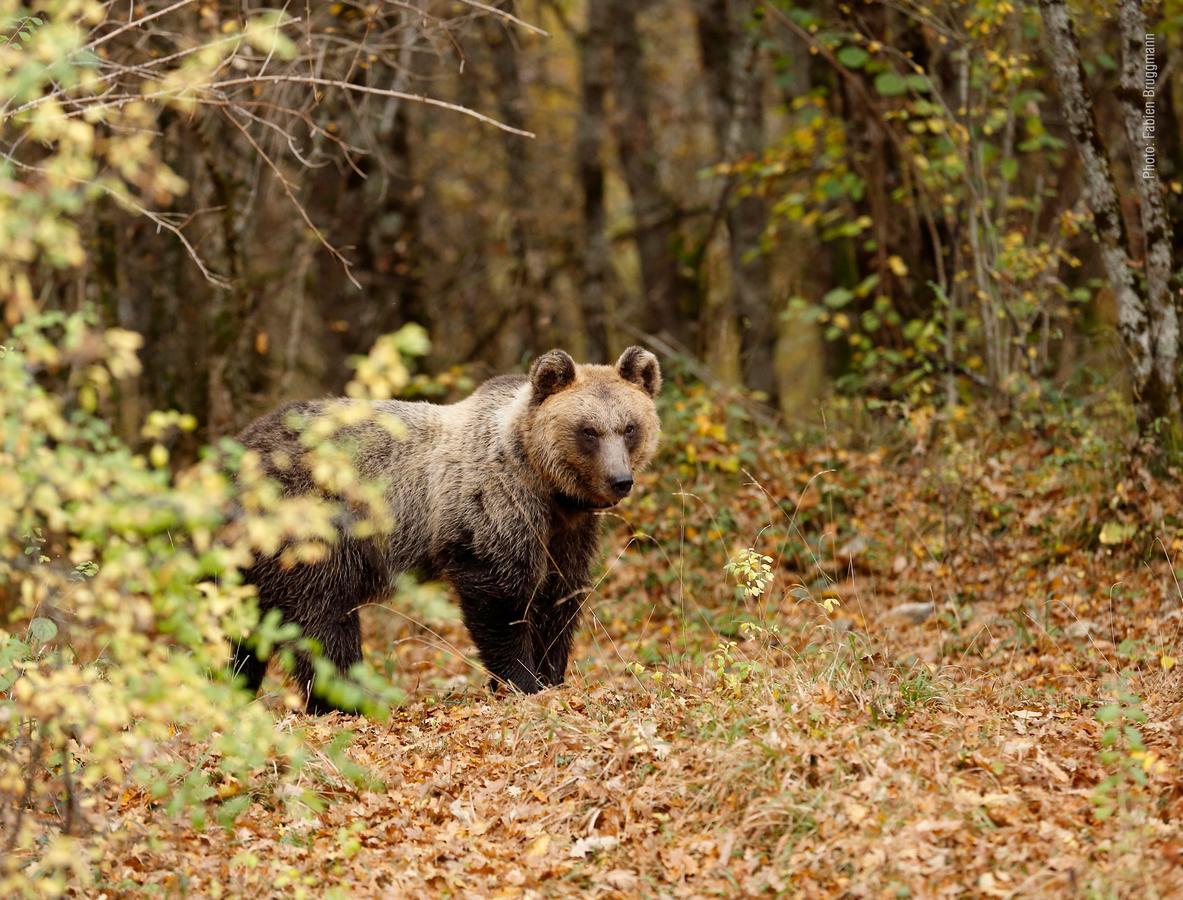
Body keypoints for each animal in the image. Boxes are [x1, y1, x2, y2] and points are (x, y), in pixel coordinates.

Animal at [228, 342, 657, 709]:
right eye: (589, 430)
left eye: (629, 427)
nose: (619, 480)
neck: (545, 485)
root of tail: (240, 446)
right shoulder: (493, 510)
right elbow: (500, 596)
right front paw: (522, 680)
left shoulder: (568, 530)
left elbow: (561, 594)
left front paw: (552, 674)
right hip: (310, 528)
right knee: (322, 619)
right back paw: (344, 702)